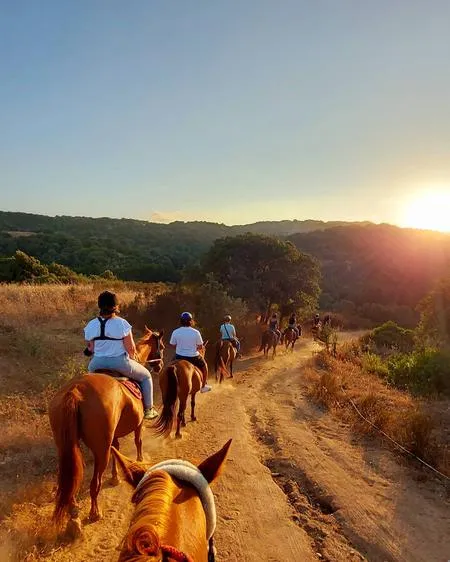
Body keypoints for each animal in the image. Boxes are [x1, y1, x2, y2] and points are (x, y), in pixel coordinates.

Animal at [48, 326, 164, 536]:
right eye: (163, 346)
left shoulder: (114, 435)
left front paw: (116, 477)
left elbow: (116, 450)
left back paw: (74, 516)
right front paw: (140, 461)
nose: (159, 366)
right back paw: (94, 513)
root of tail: (75, 391)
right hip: (100, 448)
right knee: (95, 483)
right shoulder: (138, 423)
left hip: (66, 447)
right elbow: (138, 442)